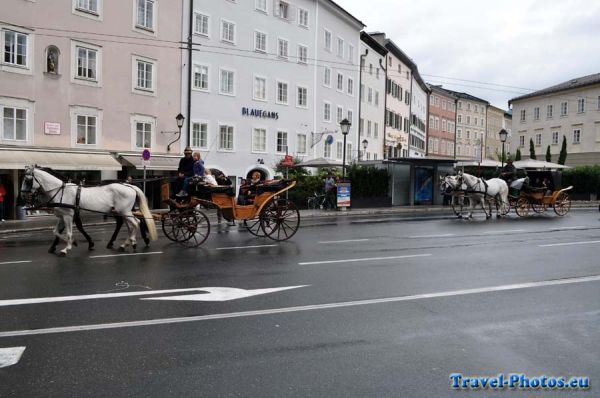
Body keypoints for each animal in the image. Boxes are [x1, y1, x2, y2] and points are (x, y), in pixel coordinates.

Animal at [21, 166, 157, 255]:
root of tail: (130, 185)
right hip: (123, 212)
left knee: (135, 223)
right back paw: (127, 243)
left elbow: (69, 232)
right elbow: (56, 231)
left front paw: (66, 248)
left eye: (27, 180)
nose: (23, 196)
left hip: (125, 211)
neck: (61, 191)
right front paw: (73, 242)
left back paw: (131, 241)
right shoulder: (62, 216)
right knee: (130, 224)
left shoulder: (68, 216)